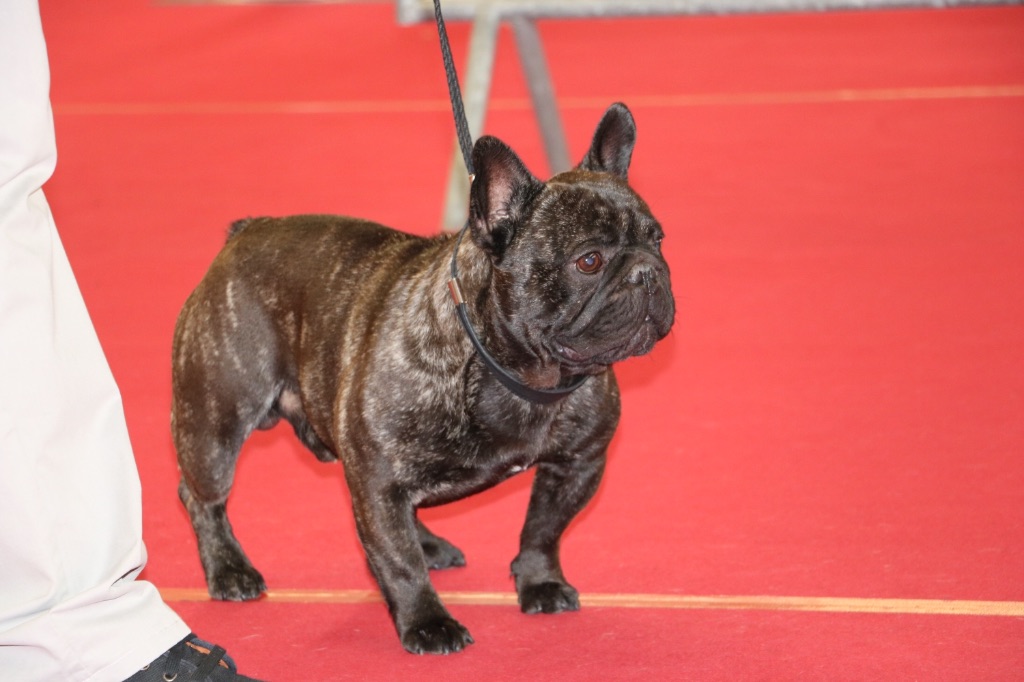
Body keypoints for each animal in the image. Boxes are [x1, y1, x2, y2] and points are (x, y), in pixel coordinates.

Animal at [172, 102, 675, 655]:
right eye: (589, 261)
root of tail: (244, 232)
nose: (648, 272)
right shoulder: (378, 481)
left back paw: (429, 542)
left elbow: (543, 530)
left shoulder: (577, 465)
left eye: (658, 240)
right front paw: (428, 622)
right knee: (202, 497)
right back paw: (229, 571)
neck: (520, 375)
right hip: (216, 424)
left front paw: (540, 583)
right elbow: (398, 562)